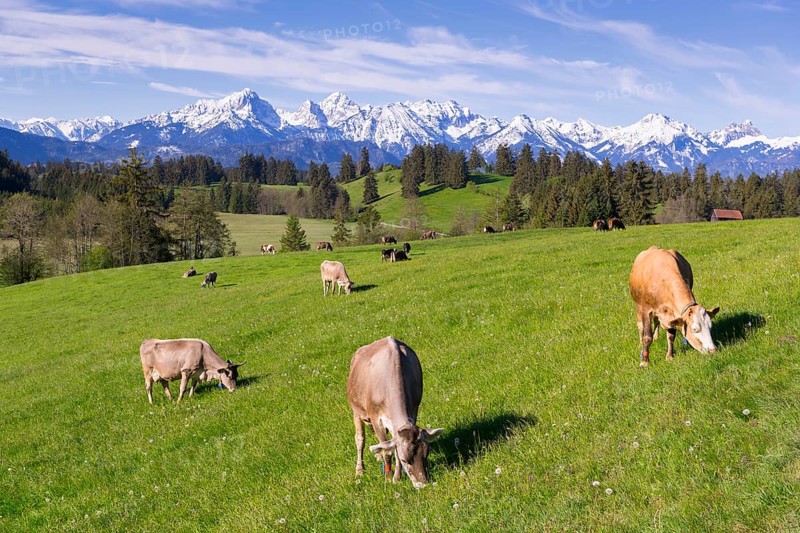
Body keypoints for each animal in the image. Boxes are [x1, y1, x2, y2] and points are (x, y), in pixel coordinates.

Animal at [346, 336, 443, 488]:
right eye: (405, 460)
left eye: (426, 454)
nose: (423, 485)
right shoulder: (376, 418)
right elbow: (387, 450)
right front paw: (388, 477)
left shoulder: (413, 410)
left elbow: (392, 448)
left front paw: (396, 478)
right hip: (356, 411)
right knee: (360, 439)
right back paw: (360, 470)